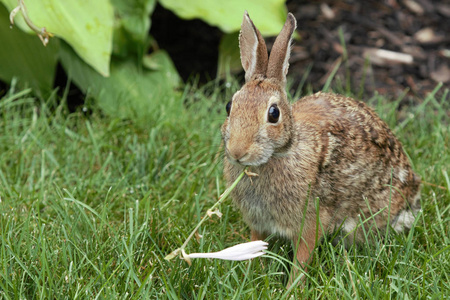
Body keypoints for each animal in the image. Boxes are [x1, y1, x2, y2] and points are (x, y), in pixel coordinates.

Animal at [221, 11, 422, 286]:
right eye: (229, 106)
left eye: (274, 114)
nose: (238, 151)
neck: (279, 154)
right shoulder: (257, 221)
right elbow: (255, 244)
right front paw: (254, 274)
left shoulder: (311, 219)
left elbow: (303, 257)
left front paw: (291, 288)